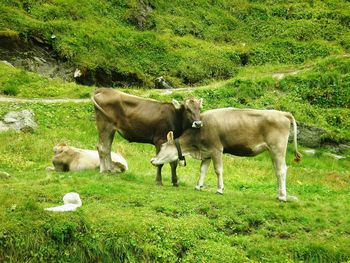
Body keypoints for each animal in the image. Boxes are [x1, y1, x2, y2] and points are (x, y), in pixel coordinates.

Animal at [150, 108, 300, 202]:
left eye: (162, 146)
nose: (152, 160)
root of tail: (283, 114)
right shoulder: (206, 152)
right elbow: (202, 170)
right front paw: (198, 186)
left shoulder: (216, 149)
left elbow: (218, 170)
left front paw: (219, 189)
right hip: (273, 150)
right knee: (277, 170)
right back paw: (279, 195)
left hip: (277, 148)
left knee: (281, 170)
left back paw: (282, 197)